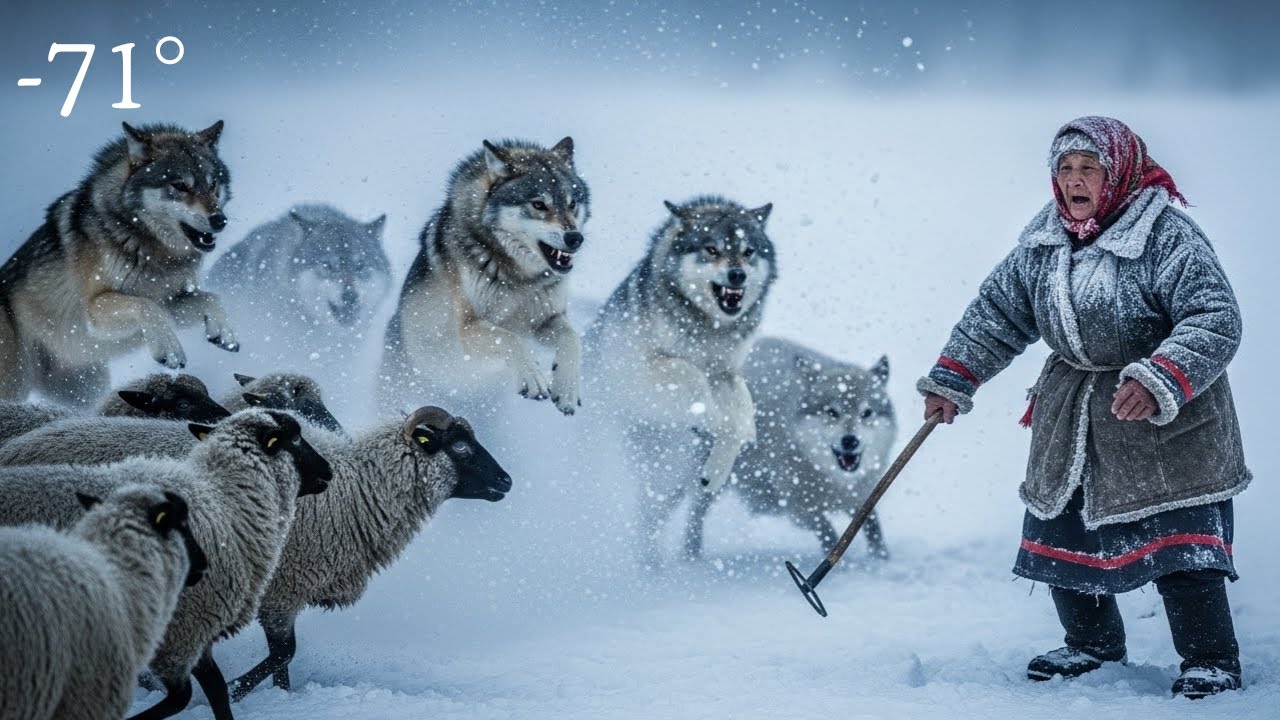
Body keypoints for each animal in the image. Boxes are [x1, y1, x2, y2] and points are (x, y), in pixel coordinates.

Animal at [0, 121, 236, 407]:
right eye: (180, 185)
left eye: (213, 184)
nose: (220, 220)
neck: (154, 251)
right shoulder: (94, 310)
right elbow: (147, 306)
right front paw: (169, 350)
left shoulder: (172, 301)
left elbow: (211, 298)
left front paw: (224, 333)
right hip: (14, 385)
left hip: (88, 389)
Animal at [227, 406, 512, 700]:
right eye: (460, 446)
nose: (507, 481)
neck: (354, 492)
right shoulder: (283, 590)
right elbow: (283, 654)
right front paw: (233, 689)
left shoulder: (285, 591)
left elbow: (281, 661)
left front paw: (277, 695)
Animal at [378, 137, 589, 416]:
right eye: (538, 204)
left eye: (571, 204)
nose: (575, 238)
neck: (521, 277)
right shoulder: (468, 328)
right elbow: (510, 338)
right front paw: (532, 377)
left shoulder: (546, 319)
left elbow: (572, 340)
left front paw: (567, 390)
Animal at [585, 196, 776, 564]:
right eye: (712, 250)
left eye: (748, 252)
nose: (738, 274)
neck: (707, 329)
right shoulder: (642, 369)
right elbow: (690, 373)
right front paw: (709, 419)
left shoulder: (725, 372)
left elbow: (741, 411)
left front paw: (720, 463)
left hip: (670, 474)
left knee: (651, 512)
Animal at [687, 337, 898, 559]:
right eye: (832, 412)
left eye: (867, 413)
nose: (850, 441)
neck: (834, 479)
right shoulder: (801, 507)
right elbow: (827, 530)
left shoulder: (862, 496)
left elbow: (873, 527)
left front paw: (881, 559)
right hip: (714, 478)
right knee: (695, 514)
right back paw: (691, 555)